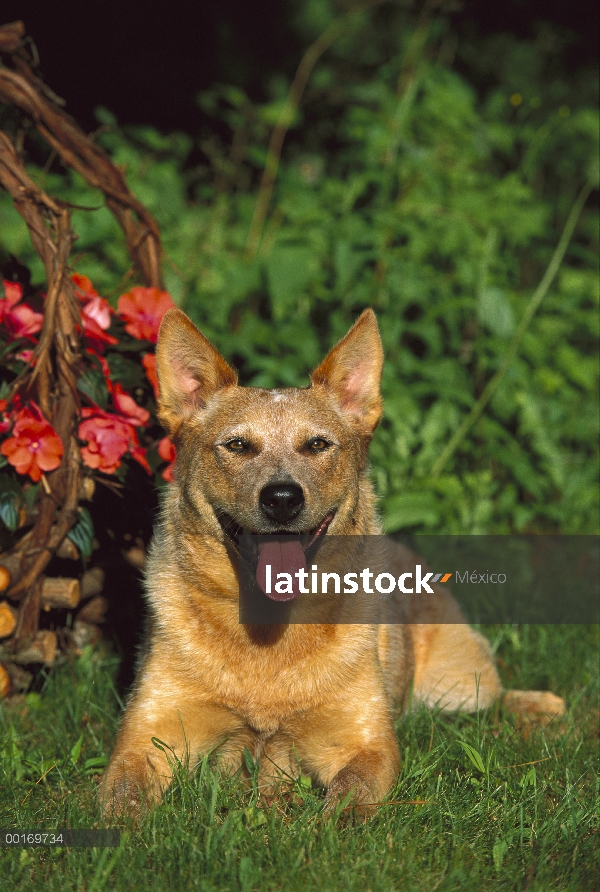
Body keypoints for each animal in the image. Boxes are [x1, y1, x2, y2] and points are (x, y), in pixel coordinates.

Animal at [101, 310, 564, 820]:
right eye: (238, 445)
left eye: (318, 444)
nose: (282, 497)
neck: (267, 641)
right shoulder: (147, 735)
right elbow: (123, 795)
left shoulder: (364, 741)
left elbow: (348, 801)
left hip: (461, 682)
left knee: (493, 700)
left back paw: (540, 706)